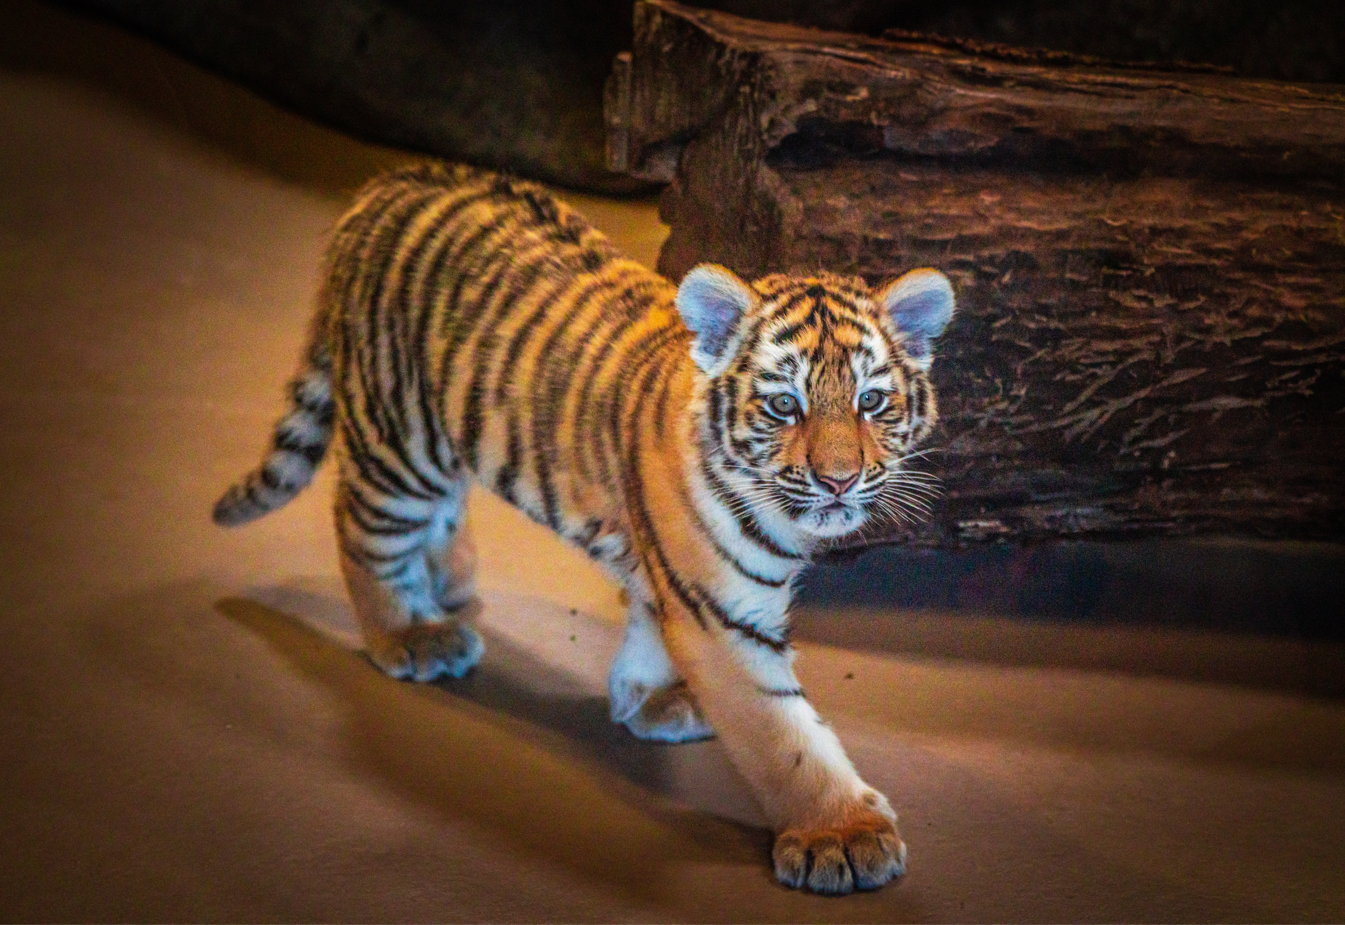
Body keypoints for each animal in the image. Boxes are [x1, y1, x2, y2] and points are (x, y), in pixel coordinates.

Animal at [213, 162, 955, 894]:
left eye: (871, 401)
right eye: (783, 406)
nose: (839, 480)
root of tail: (385, 184)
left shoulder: (671, 581)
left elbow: (650, 634)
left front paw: (647, 701)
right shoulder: (722, 614)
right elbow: (782, 734)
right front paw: (842, 835)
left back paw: (448, 582)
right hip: (399, 438)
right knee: (362, 528)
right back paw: (412, 634)